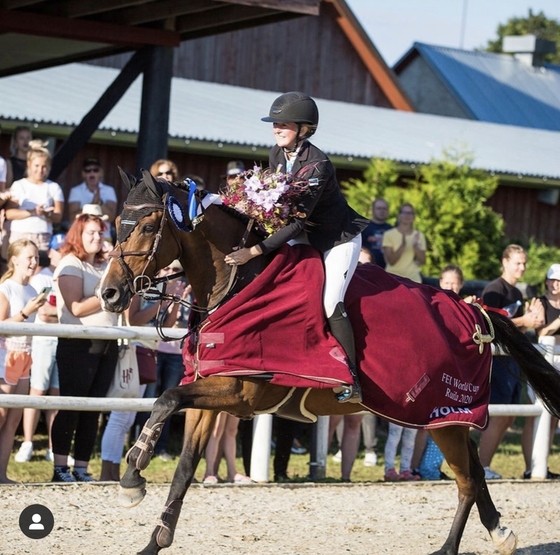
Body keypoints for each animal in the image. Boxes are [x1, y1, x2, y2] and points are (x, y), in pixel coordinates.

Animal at [98, 170, 560, 555]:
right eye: (117, 224)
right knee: (475, 473)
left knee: (466, 479)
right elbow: (184, 466)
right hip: (446, 416)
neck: (237, 282)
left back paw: (450, 549)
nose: (110, 294)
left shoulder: (238, 391)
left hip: (444, 414)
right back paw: (500, 532)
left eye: (148, 226)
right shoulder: (210, 396)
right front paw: (150, 538)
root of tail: (476, 311)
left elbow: (166, 399)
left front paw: (133, 473)